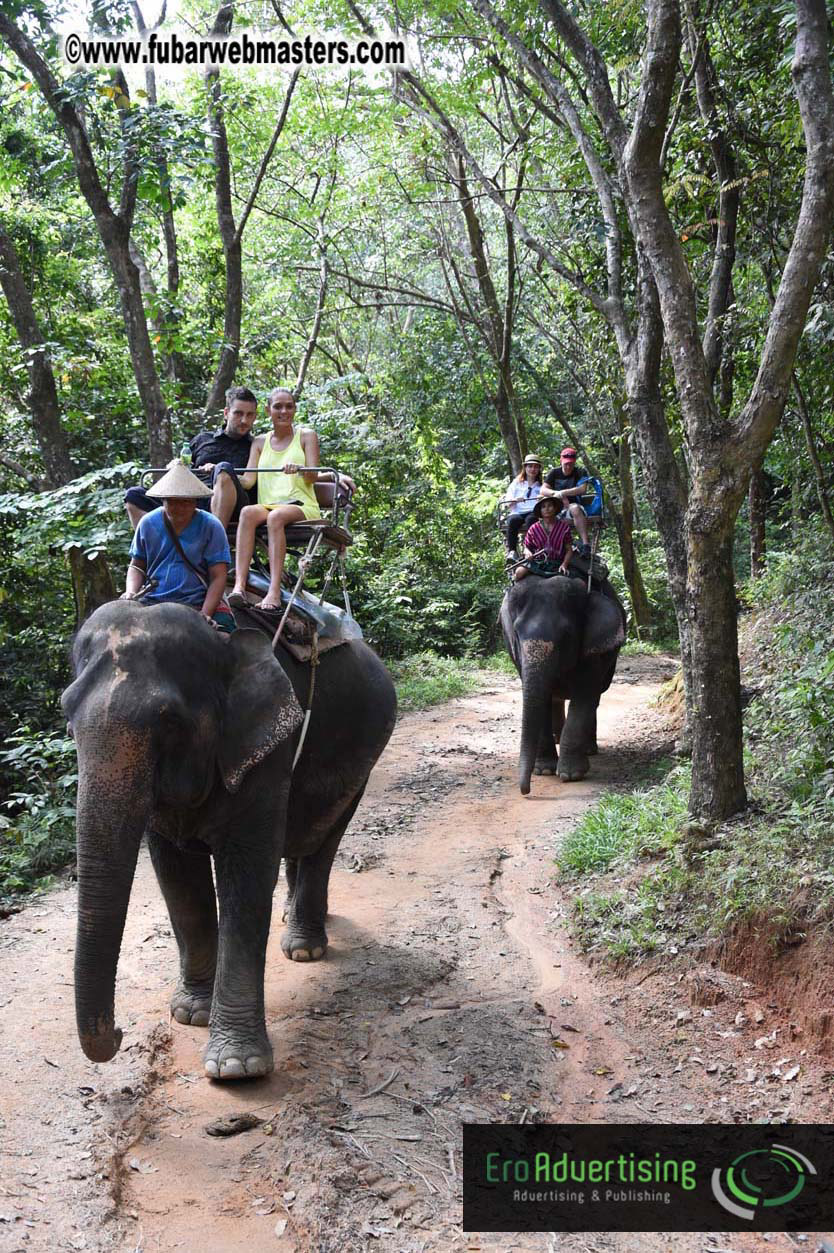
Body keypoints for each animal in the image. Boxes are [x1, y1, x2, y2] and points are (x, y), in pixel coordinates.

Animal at [61, 600, 396, 1081]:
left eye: (169, 720)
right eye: (67, 715)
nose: (120, 1034)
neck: (221, 643)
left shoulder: (267, 748)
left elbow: (246, 875)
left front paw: (237, 1067)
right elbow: (178, 880)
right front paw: (190, 1014)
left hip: (364, 755)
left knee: (324, 837)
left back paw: (304, 948)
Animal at [500, 573, 626, 794]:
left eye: (566, 635)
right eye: (516, 633)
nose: (526, 790)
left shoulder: (593, 652)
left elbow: (584, 695)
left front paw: (571, 775)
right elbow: (539, 697)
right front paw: (544, 770)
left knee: (595, 699)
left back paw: (589, 748)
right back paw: (558, 737)